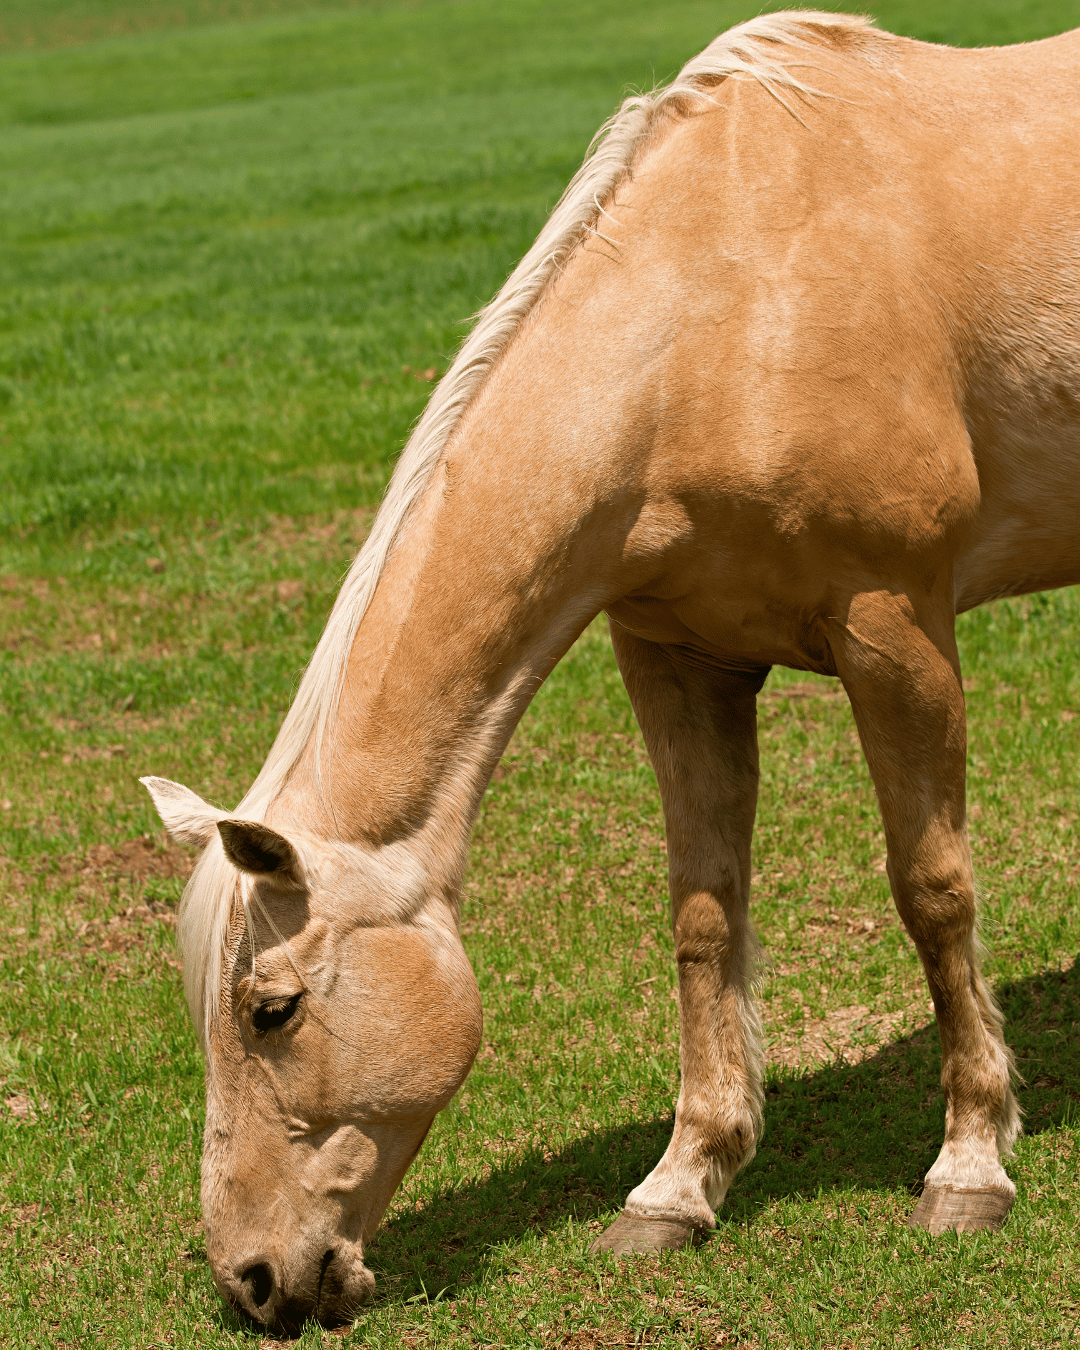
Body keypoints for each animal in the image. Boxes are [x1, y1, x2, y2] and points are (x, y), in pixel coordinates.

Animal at [142, 9, 1080, 1327]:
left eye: (271, 1009)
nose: (255, 1279)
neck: (725, 308)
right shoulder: (674, 657)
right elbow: (703, 915)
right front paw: (681, 1186)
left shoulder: (895, 627)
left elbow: (932, 891)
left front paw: (970, 1163)